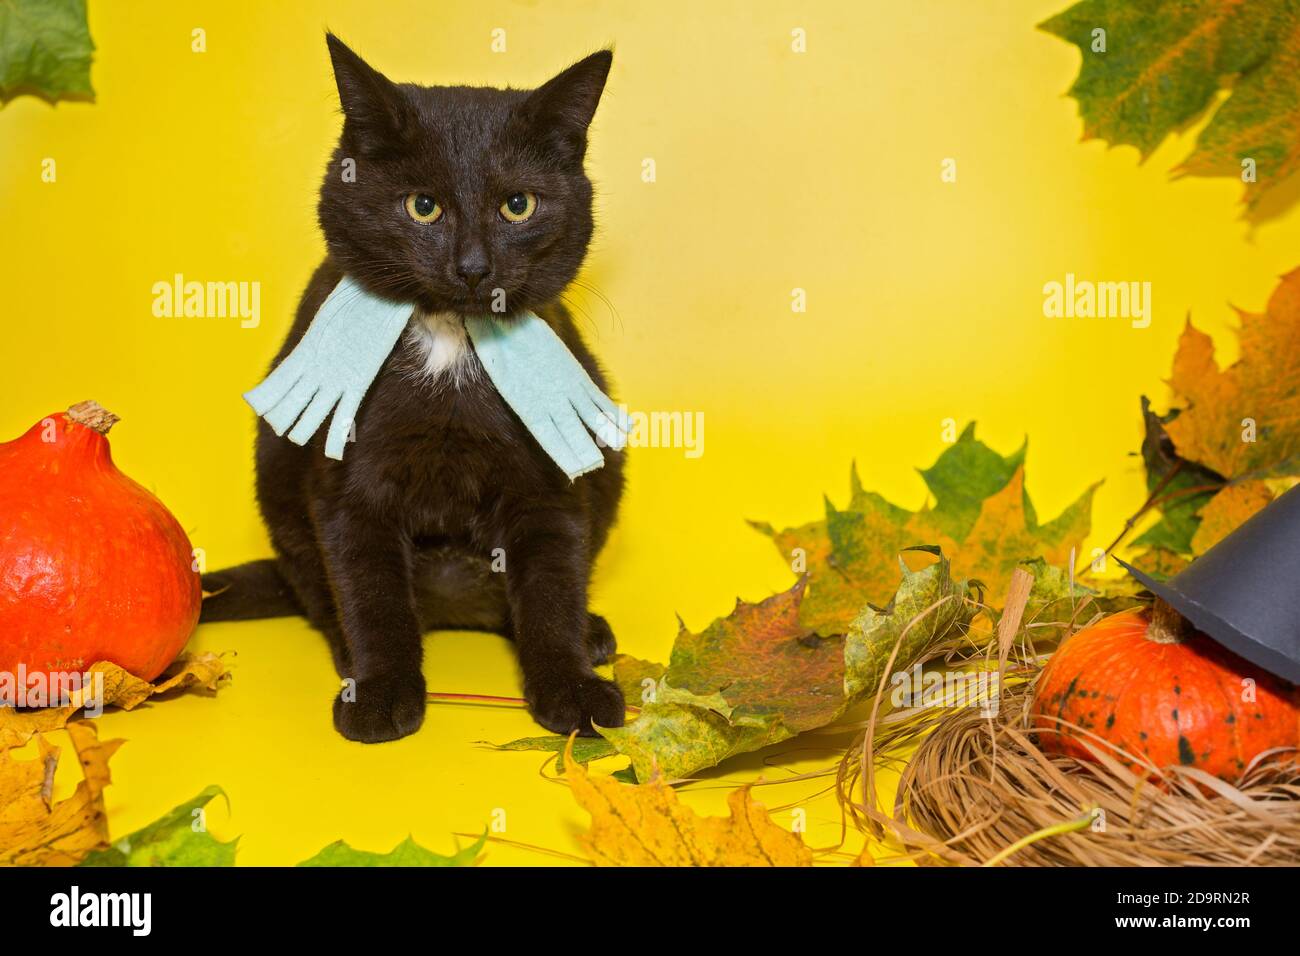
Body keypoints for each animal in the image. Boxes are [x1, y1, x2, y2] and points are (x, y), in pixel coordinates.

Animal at [200, 33, 626, 743]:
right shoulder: (349, 483)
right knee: (322, 590)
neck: (449, 340)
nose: (473, 267)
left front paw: (573, 687)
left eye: (518, 206)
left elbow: (552, 586)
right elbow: (371, 595)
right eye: (422, 206)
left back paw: (591, 633)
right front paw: (379, 692)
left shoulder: (548, 481)